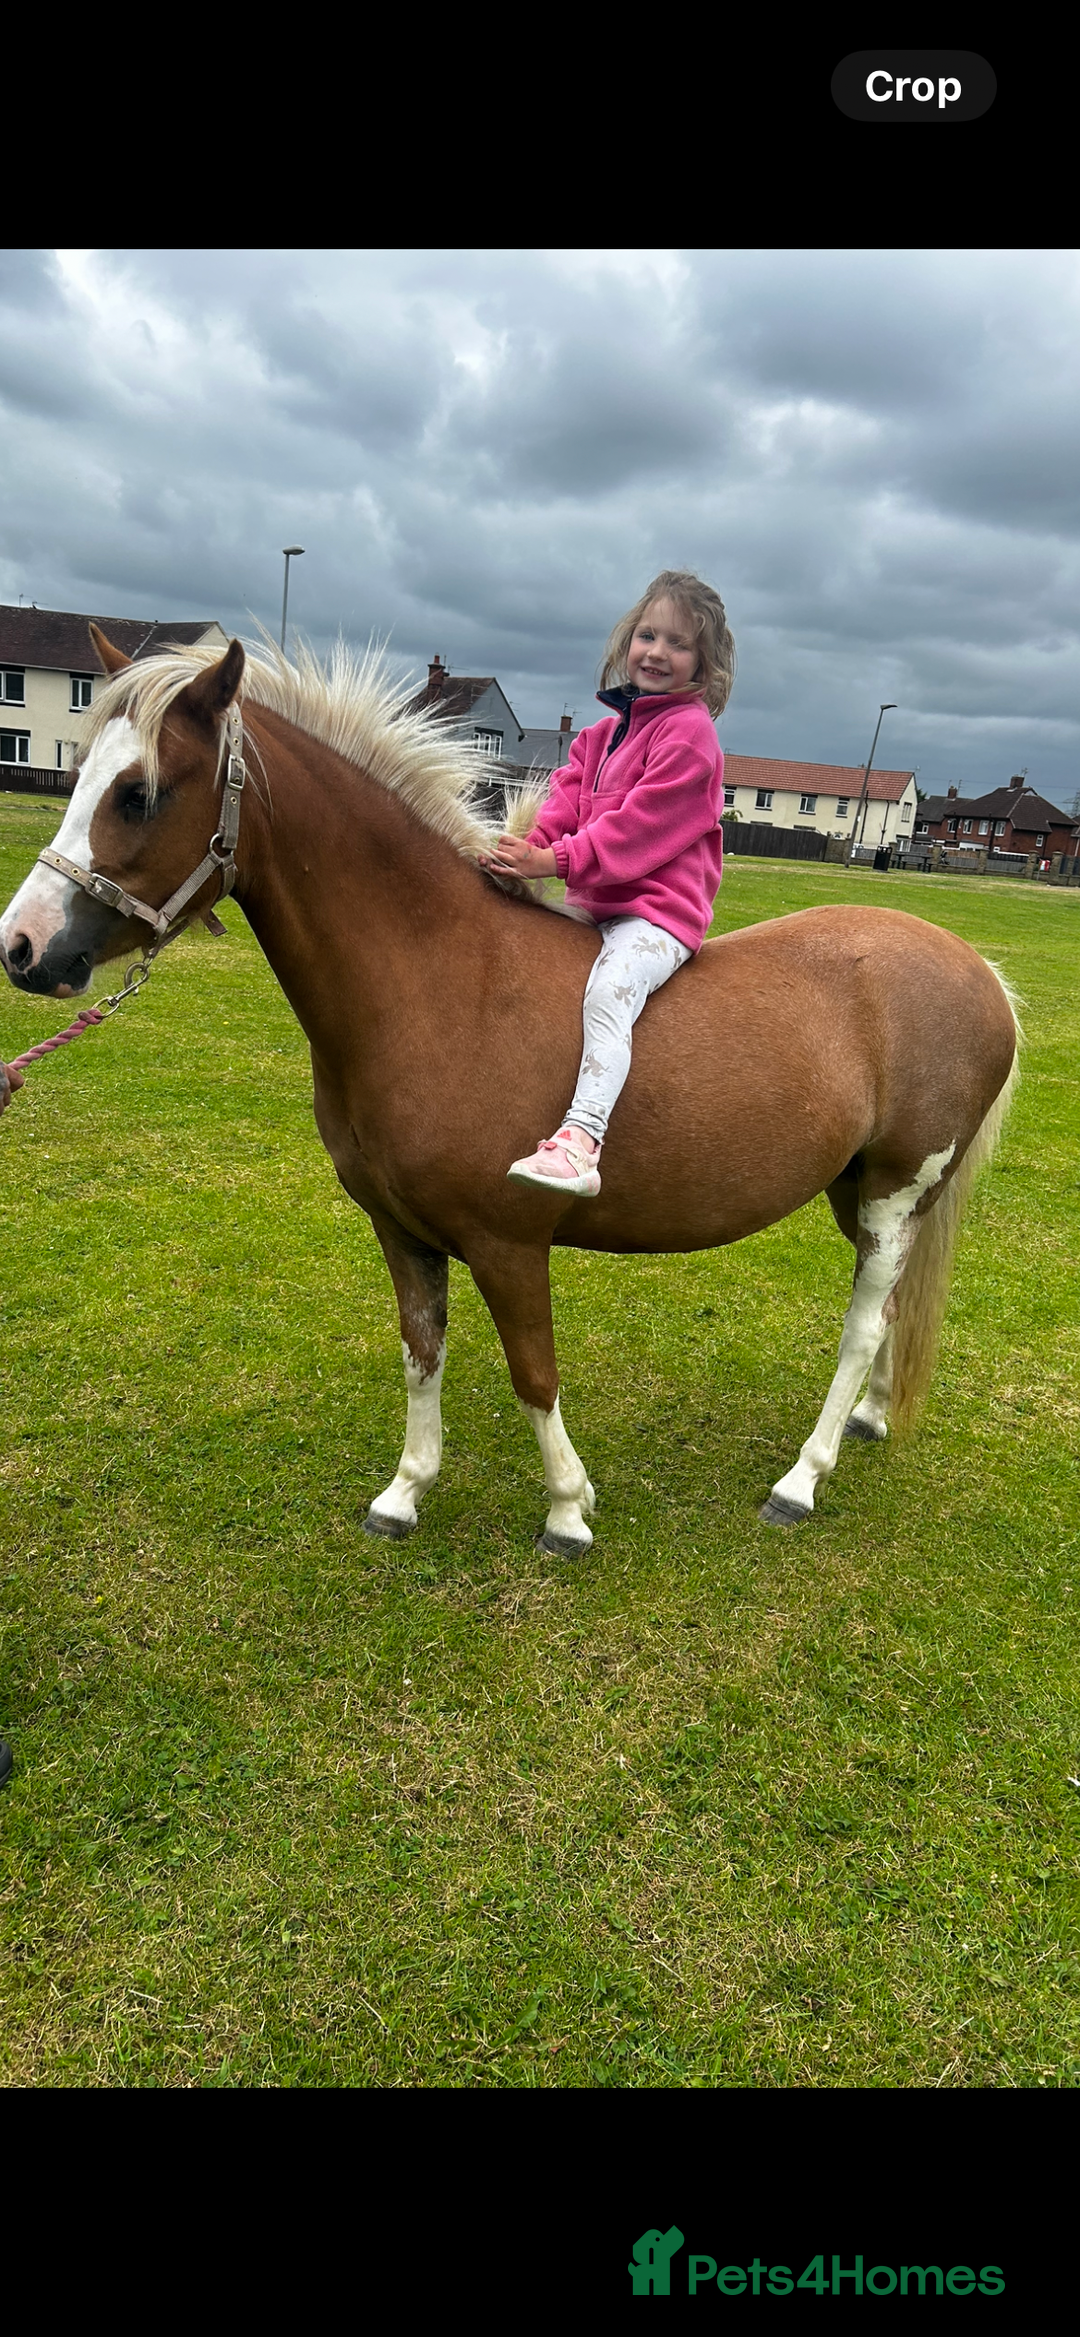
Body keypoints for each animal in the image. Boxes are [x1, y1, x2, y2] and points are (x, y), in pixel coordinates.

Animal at [0, 630, 1019, 1552]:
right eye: (79, 772)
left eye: (138, 793)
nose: (23, 947)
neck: (443, 980)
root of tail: (978, 970)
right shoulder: (402, 1232)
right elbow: (421, 1354)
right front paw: (405, 1494)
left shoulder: (508, 1244)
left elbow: (534, 1373)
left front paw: (568, 1509)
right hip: (862, 1194)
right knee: (887, 1310)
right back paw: (868, 1420)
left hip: (892, 1192)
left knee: (861, 1325)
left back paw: (802, 1478)